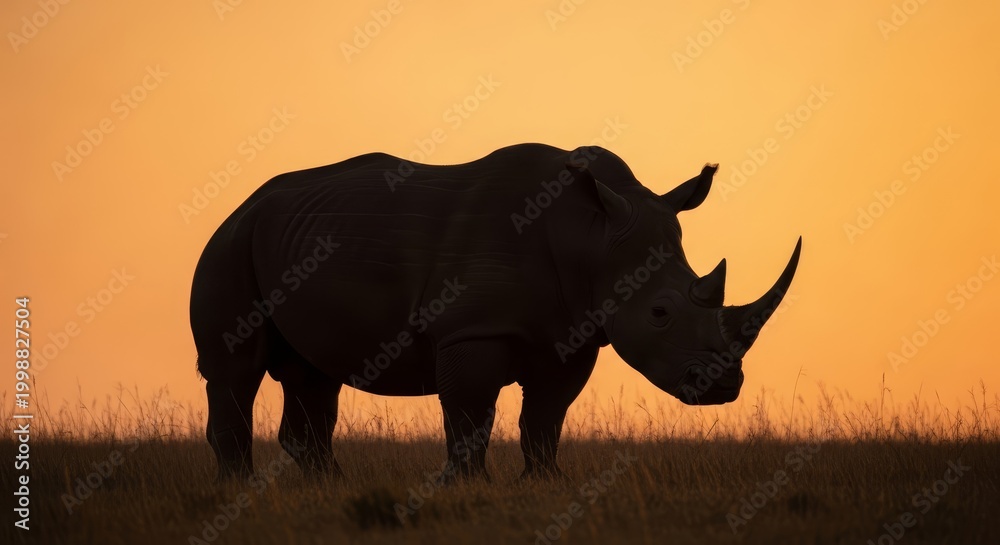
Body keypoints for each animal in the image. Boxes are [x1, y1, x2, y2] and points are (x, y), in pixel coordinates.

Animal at [190, 143, 801, 480]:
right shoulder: (471, 330)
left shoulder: (573, 335)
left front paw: (545, 482)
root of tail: (243, 204)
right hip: (230, 243)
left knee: (314, 374)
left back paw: (331, 488)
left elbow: (546, 415)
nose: (724, 385)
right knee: (235, 370)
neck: (592, 237)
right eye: (659, 312)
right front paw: (464, 487)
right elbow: (470, 410)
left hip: (290, 238)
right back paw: (240, 490)